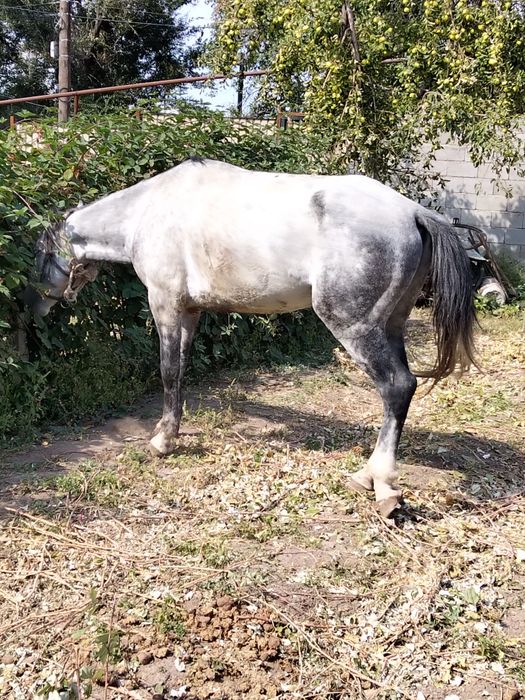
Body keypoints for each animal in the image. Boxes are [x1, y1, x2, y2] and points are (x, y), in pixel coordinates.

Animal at [26, 158, 476, 518]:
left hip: (356, 327)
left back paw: (378, 482)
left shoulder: (165, 304)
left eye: (39, 256)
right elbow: (181, 371)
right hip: (391, 324)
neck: (146, 211)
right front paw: (172, 430)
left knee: (397, 386)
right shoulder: (190, 312)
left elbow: (167, 371)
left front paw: (162, 441)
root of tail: (413, 212)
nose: (31, 308)